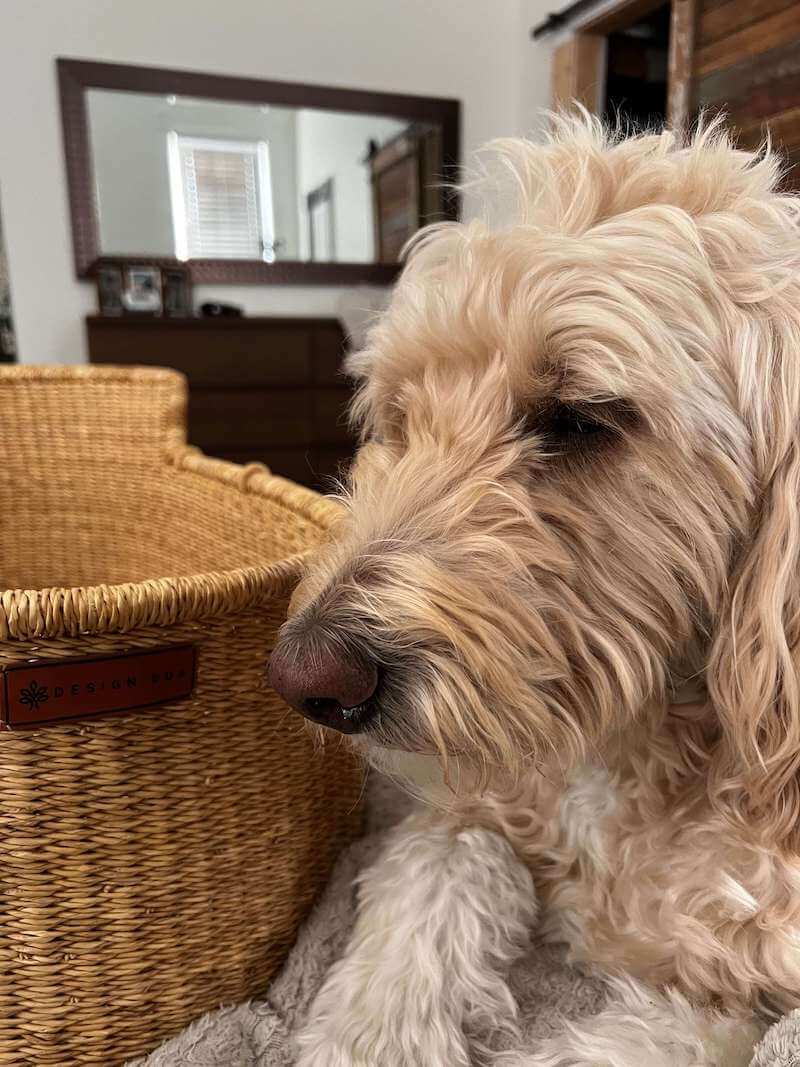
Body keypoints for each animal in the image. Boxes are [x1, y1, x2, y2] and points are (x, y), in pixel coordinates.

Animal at [269, 112, 800, 1062]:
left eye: (581, 418)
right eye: (399, 416)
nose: (309, 679)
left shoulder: (751, 1005)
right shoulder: (473, 803)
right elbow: (440, 863)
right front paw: (371, 1033)